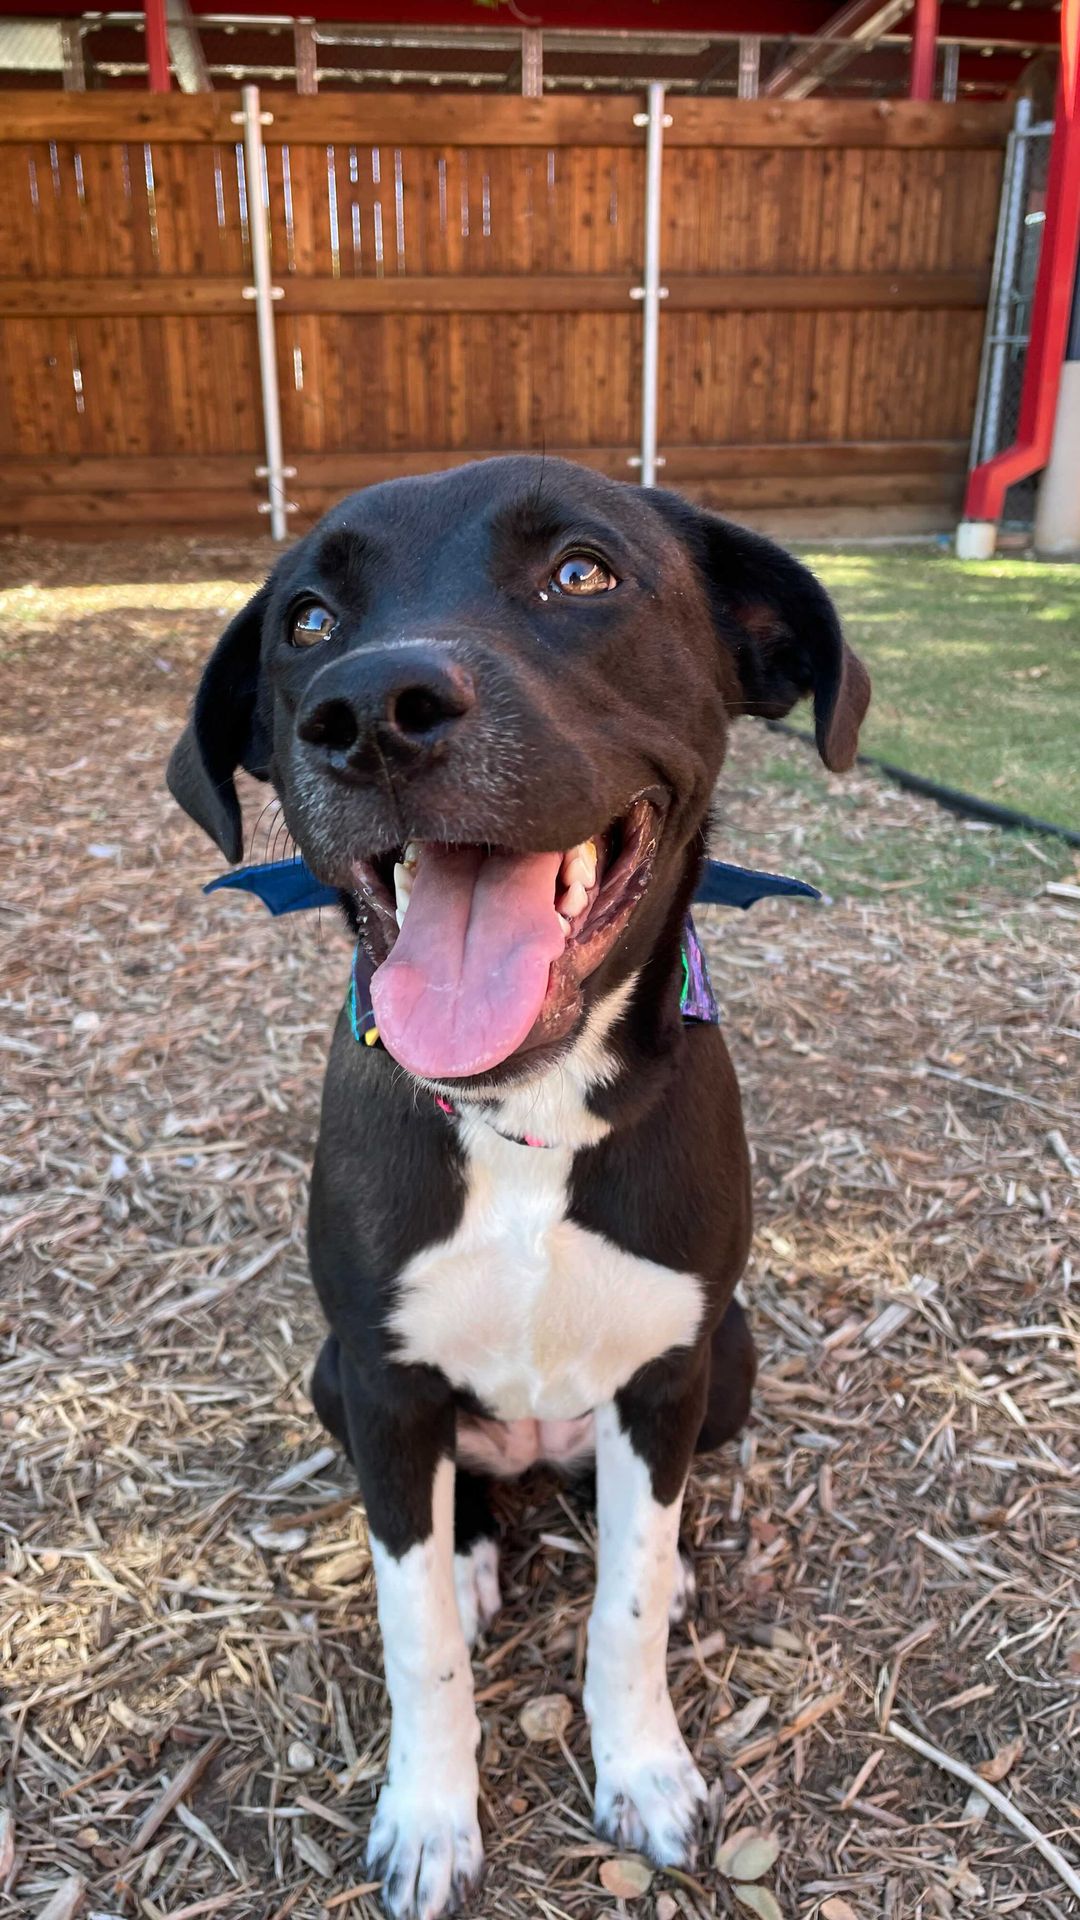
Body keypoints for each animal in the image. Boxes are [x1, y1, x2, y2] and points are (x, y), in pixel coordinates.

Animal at [166, 453, 864, 1920]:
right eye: (307, 618)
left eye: (582, 572)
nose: (370, 714)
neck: (525, 1111)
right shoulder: (382, 1384)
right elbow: (415, 1632)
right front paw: (429, 1820)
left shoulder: (668, 1367)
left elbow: (625, 1609)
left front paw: (644, 1769)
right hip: (335, 1375)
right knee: (460, 1507)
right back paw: (482, 1546)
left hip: (734, 1351)